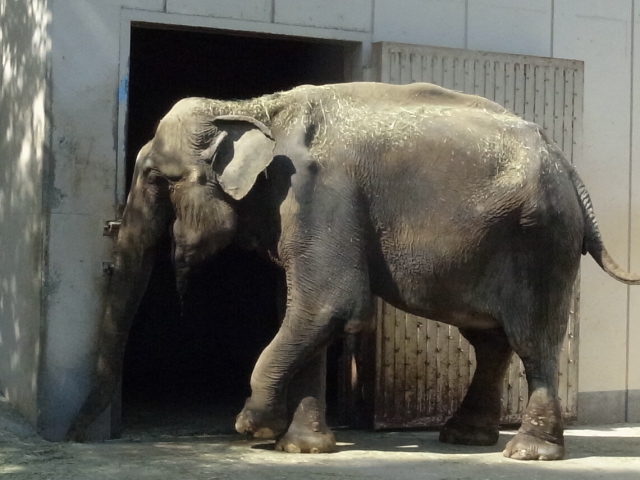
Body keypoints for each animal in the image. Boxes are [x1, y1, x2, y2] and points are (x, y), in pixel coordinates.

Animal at [66, 82, 640, 462]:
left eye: (155, 179)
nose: (71, 437)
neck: (250, 108)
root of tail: (569, 169)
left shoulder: (319, 194)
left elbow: (329, 304)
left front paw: (254, 426)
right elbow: (307, 313)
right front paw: (303, 448)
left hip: (540, 241)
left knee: (532, 340)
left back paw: (527, 454)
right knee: (488, 339)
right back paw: (466, 438)